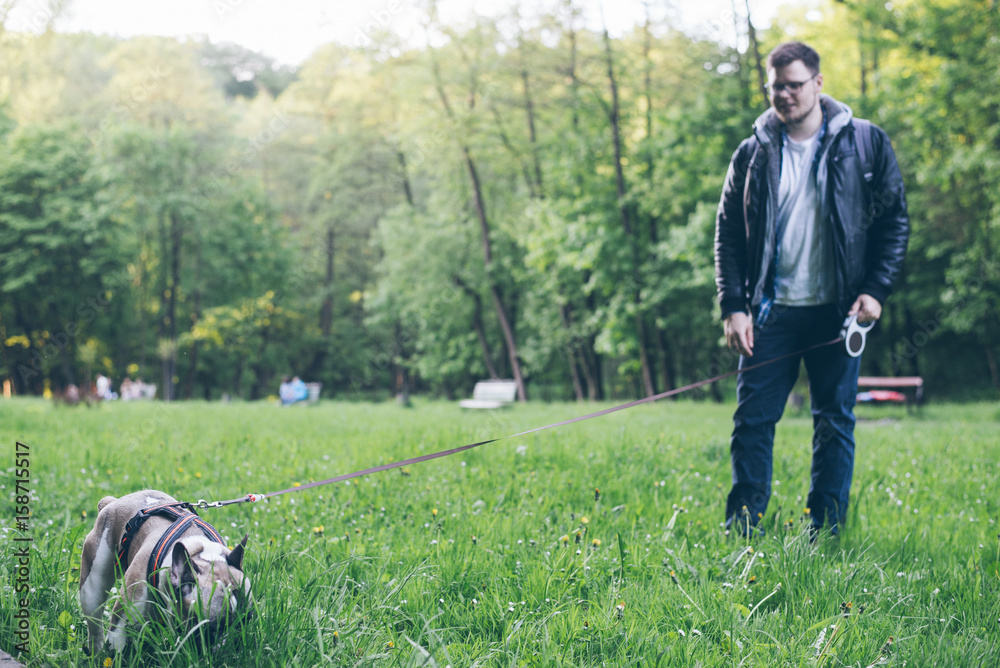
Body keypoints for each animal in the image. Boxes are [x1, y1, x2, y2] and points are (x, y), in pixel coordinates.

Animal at [79, 490, 252, 652]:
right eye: (215, 628)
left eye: (247, 620)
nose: (234, 640)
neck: (197, 551)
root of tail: (113, 502)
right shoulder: (121, 623)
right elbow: (117, 650)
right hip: (92, 588)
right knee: (95, 624)